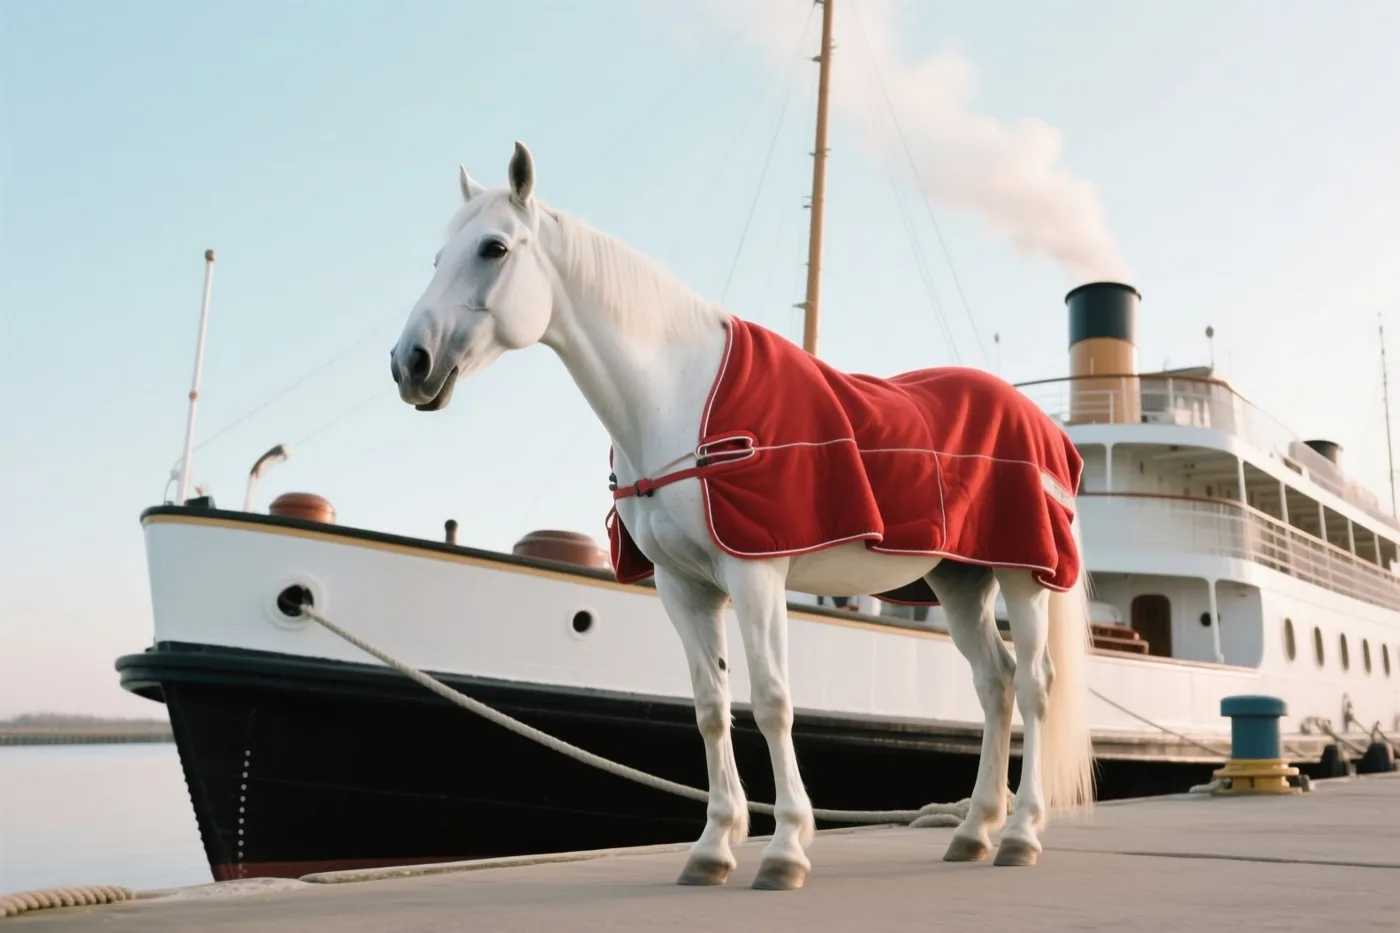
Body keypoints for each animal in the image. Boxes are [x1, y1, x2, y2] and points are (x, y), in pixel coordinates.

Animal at [388, 141, 1095, 891]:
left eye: (494, 247)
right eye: (438, 256)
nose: (410, 363)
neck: (678, 400)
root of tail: (1046, 429)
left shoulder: (755, 571)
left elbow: (772, 701)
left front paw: (784, 848)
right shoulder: (682, 586)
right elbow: (710, 707)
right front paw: (713, 846)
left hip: (1022, 575)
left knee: (1035, 687)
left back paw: (1020, 832)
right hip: (961, 579)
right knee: (994, 683)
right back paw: (973, 829)